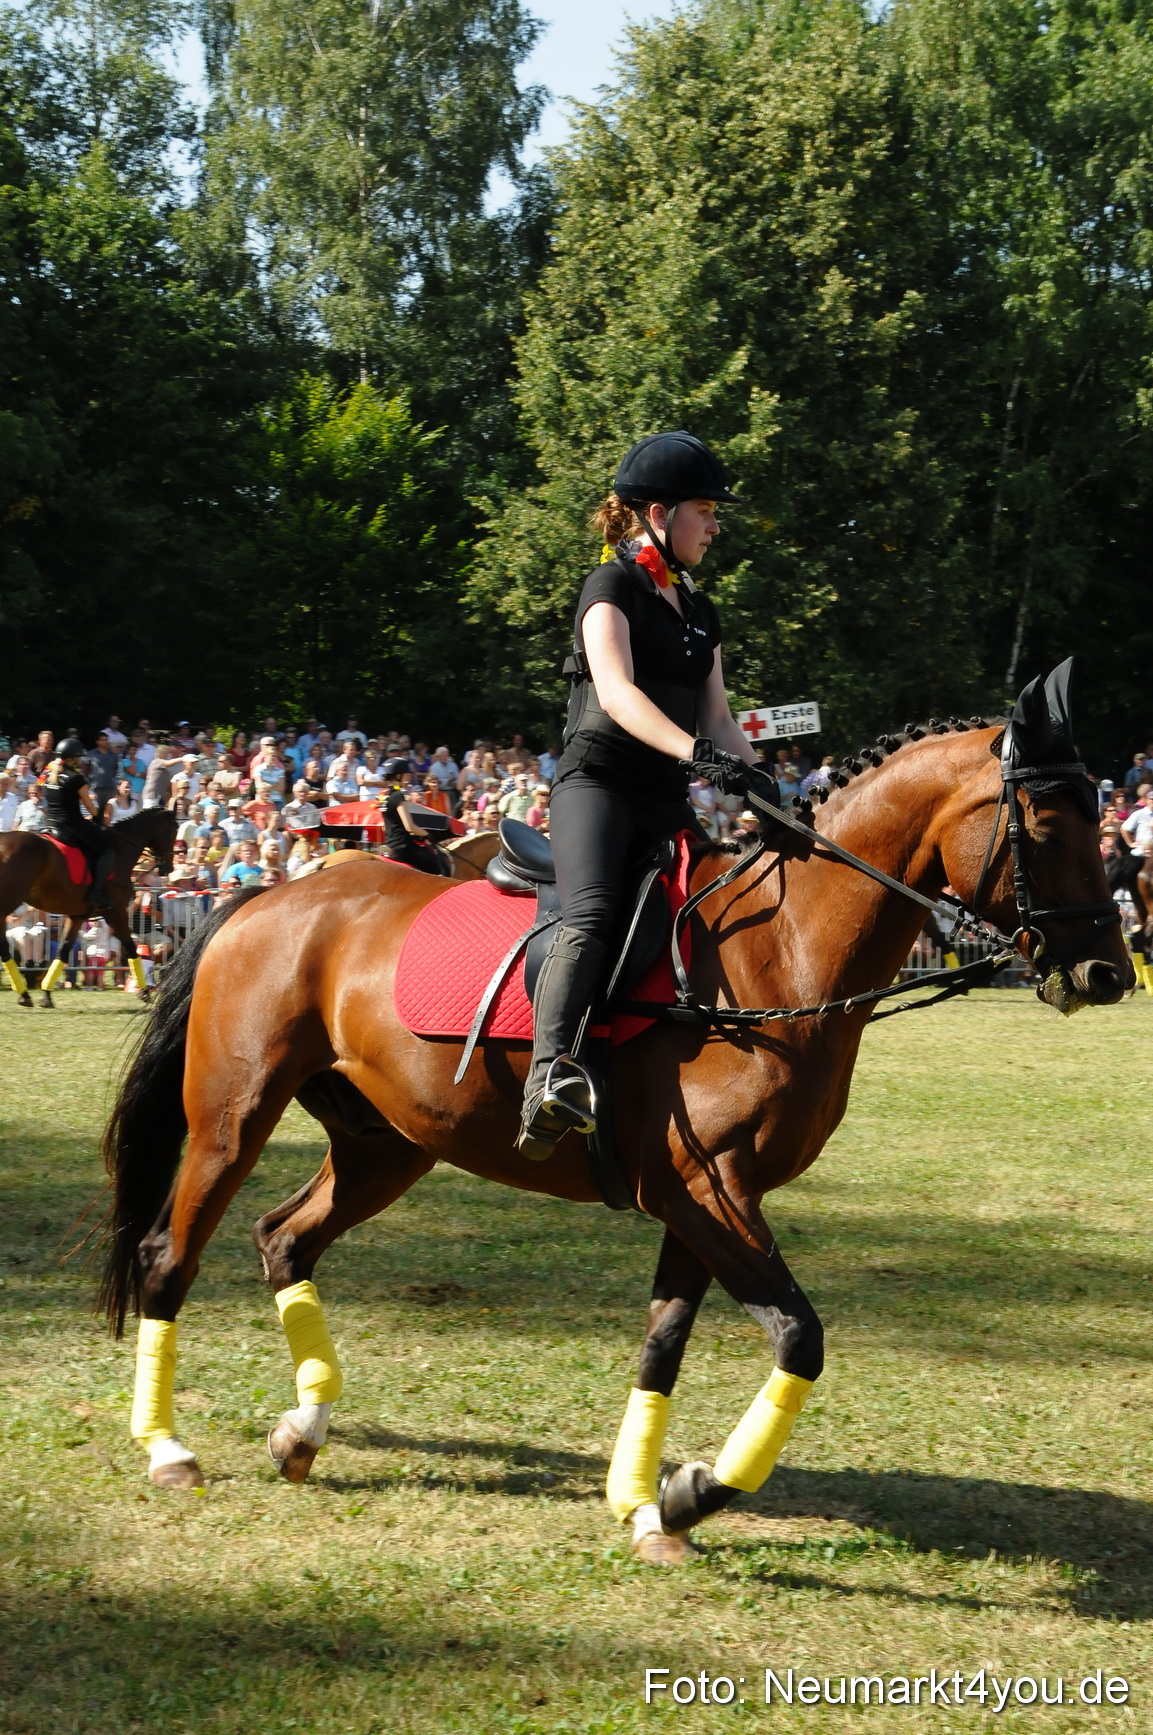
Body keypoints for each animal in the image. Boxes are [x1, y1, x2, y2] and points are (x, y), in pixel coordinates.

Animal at [0, 809, 177, 1007]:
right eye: (173, 830)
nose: (168, 867)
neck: (120, 849)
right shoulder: (115, 913)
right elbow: (131, 948)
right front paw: (144, 991)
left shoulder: (76, 916)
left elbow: (63, 950)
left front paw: (46, 995)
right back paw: (24, 993)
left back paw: (24, 993)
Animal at [97, 675, 1130, 1565]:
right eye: (1046, 820)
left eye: (1099, 817)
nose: (1108, 973)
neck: (779, 952)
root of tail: (277, 887)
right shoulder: (707, 1190)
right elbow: (798, 1336)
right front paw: (693, 1490)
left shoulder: (702, 1199)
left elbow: (660, 1346)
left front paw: (645, 1503)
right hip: (233, 1118)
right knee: (168, 1256)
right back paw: (167, 1448)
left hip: (384, 1144)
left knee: (285, 1237)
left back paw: (301, 1428)